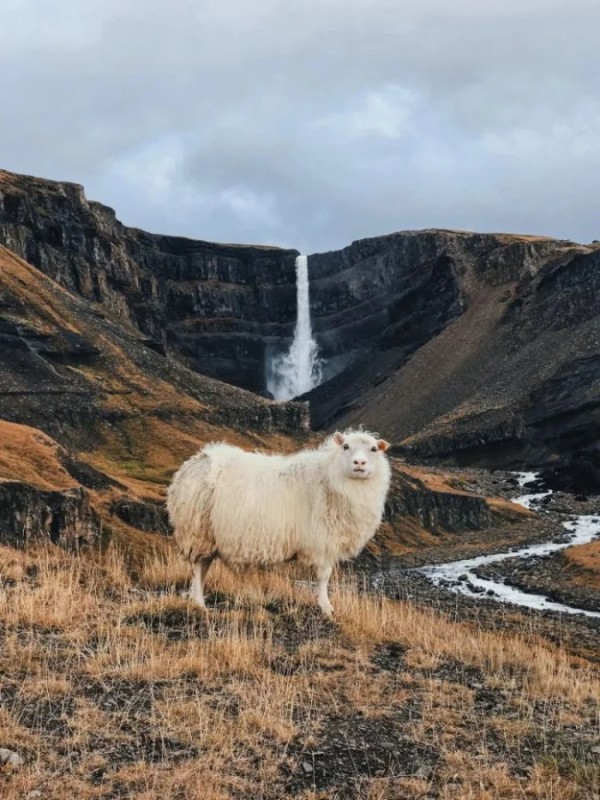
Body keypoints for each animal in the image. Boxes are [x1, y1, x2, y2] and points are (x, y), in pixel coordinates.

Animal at [166, 428, 392, 616]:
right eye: (346, 446)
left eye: (373, 449)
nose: (359, 463)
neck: (331, 477)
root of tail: (196, 460)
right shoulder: (322, 541)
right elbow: (324, 576)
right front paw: (326, 607)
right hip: (198, 530)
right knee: (198, 567)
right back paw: (198, 603)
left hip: (208, 534)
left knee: (204, 565)